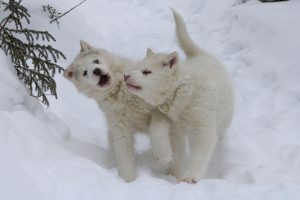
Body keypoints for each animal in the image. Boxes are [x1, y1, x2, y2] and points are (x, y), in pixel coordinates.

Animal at [63, 41, 172, 182]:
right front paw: (129, 181)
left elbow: (157, 129)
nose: (96, 71)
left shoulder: (159, 109)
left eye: (96, 61)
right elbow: (125, 158)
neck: (118, 91)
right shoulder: (120, 130)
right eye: (85, 73)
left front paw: (164, 156)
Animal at [124, 9, 234, 184]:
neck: (179, 92)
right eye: (137, 67)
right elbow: (161, 136)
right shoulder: (169, 124)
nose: (125, 76)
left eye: (146, 72)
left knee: (220, 132)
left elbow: (199, 155)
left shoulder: (204, 130)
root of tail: (200, 55)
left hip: (223, 118)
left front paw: (190, 177)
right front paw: (168, 167)